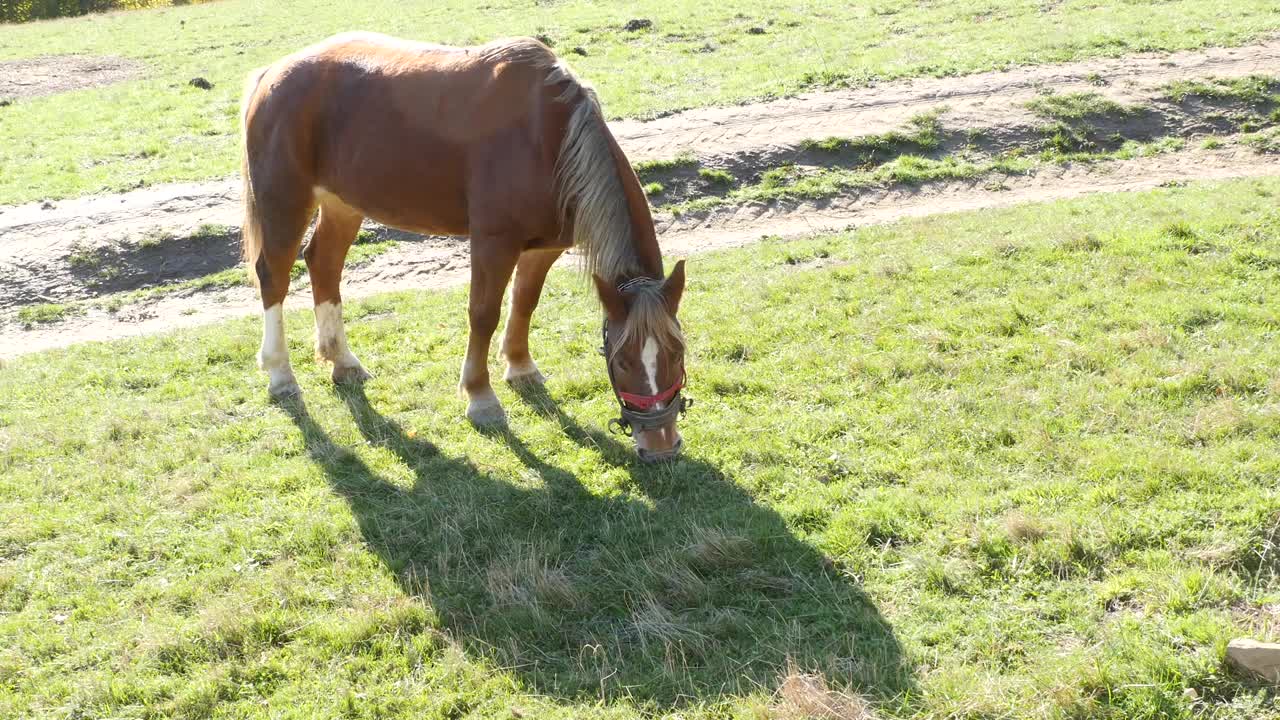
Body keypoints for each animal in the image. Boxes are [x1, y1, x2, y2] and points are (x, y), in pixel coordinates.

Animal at [240, 32, 696, 458]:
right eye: (622, 360)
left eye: (677, 351)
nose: (660, 444)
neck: (548, 136)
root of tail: (273, 74)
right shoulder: (493, 243)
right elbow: (484, 314)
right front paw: (481, 398)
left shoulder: (542, 248)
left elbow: (524, 303)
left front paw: (520, 368)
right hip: (285, 200)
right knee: (274, 276)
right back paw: (280, 374)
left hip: (344, 203)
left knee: (324, 263)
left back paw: (342, 361)